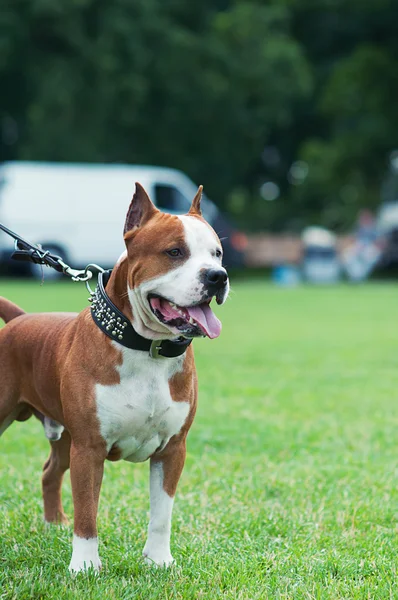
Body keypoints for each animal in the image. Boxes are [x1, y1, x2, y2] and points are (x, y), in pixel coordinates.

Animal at [0, 185, 229, 576]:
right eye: (175, 252)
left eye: (217, 253)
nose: (218, 276)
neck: (146, 348)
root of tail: (19, 320)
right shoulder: (89, 449)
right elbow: (87, 512)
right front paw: (84, 566)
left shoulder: (172, 450)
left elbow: (161, 514)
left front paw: (158, 561)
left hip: (64, 435)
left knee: (50, 472)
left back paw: (53, 525)